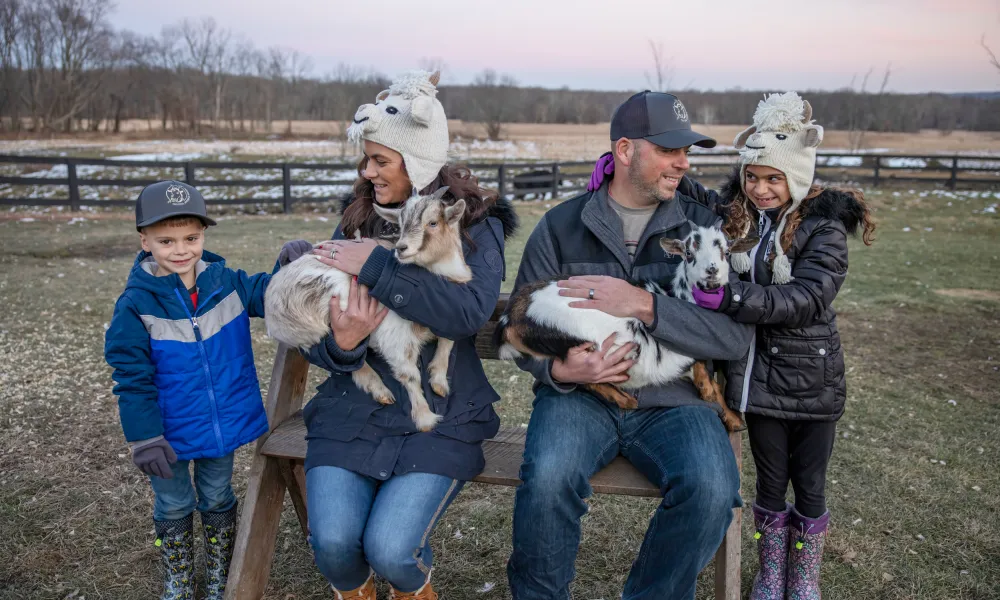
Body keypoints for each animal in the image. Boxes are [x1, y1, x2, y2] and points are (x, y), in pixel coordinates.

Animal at [264, 188, 470, 432]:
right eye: (400, 224)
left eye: (433, 223)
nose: (401, 248)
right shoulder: (394, 335)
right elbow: (409, 374)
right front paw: (425, 418)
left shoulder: (447, 315)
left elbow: (449, 339)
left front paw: (438, 382)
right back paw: (380, 389)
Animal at [496, 225, 752, 432]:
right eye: (689, 253)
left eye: (727, 252)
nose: (712, 272)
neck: (679, 295)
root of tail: (511, 316)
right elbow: (704, 374)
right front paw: (713, 399)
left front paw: (734, 421)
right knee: (586, 378)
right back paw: (626, 399)